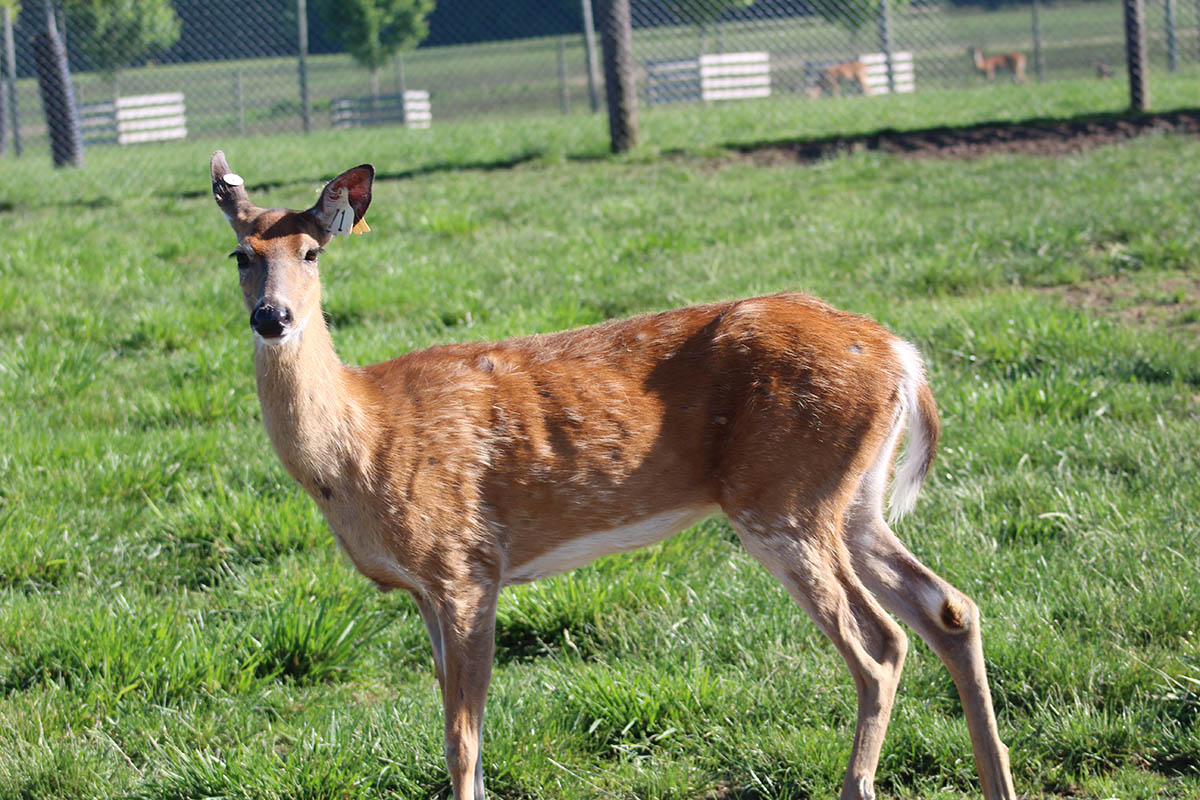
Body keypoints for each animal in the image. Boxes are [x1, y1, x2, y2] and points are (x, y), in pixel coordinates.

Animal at [209, 150, 1017, 800]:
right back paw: (996, 780)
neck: (361, 443)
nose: (273, 318)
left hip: (782, 498)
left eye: (312, 251)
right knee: (948, 608)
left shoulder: (464, 562)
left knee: (880, 647)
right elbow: (459, 736)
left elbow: (462, 743)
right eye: (240, 255)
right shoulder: (425, 587)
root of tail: (903, 356)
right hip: (850, 499)